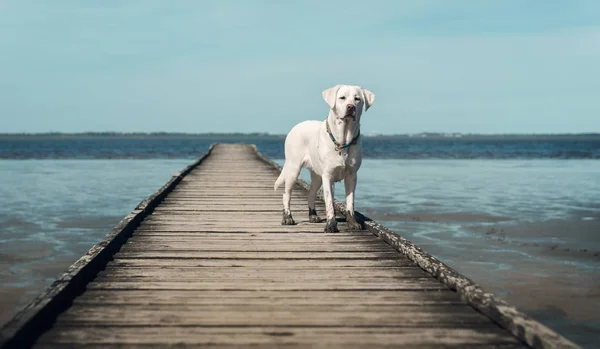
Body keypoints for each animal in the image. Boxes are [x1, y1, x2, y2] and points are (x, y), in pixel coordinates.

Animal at [274, 84, 376, 231]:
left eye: (357, 99)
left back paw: (313, 215)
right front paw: (331, 225)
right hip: (293, 169)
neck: (343, 140)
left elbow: (350, 202)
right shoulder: (328, 176)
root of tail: (296, 126)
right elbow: (329, 202)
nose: (351, 107)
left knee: (311, 193)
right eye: (342, 97)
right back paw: (287, 218)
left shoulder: (351, 176)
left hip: (317, 175)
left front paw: (352, 223)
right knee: (286, 194)